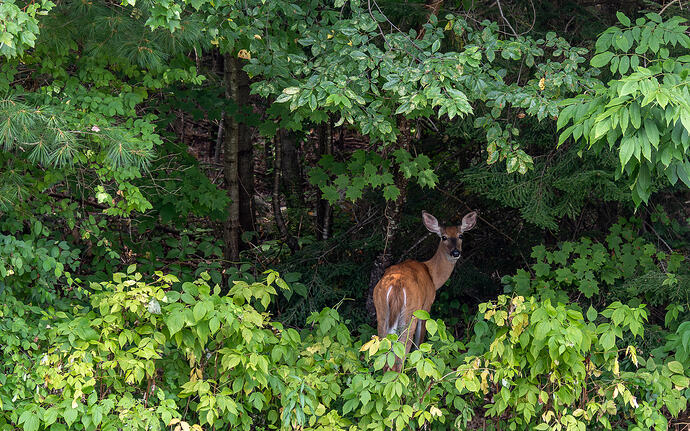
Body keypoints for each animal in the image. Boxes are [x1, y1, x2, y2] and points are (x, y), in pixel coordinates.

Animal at [372, 210, 477, 372]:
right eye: (444, 237)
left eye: (461, 235)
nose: (455, 252)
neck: (432, 274)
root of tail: (396, 285)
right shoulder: (426, 306)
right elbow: (419, 341)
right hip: (409, 313)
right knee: (400, 355)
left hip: (381, 311)